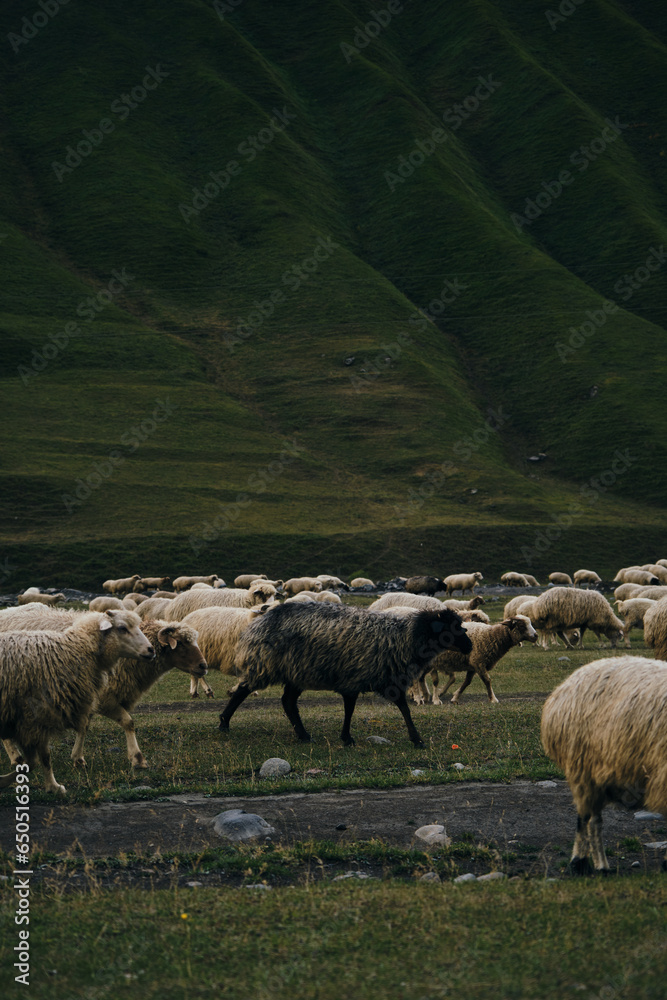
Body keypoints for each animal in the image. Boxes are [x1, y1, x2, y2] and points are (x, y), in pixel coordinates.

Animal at [0, 609, 154, 793]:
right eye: (122, 628)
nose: (151, 650)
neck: (74, 649)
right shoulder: (36, 715)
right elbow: (42, 757)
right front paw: (54, 786)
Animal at [70, 620, 206, 768]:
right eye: (180, 643)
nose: (203, 666)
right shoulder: (105, 700)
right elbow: (128, 722)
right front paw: (138, 759)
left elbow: (84, 726)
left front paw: (77, 758)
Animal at [218, 602, 472, 747]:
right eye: (452, 628)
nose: (469, 646)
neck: (405, 637)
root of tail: (258, 622)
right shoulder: (359, 677)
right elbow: (361, 709)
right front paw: (416, 739)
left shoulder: (382, 678)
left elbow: (395, 708)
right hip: (266, 663)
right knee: (243, 690)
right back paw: (224, 723)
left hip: (296, 671)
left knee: (288, 702)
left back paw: (303, 735)